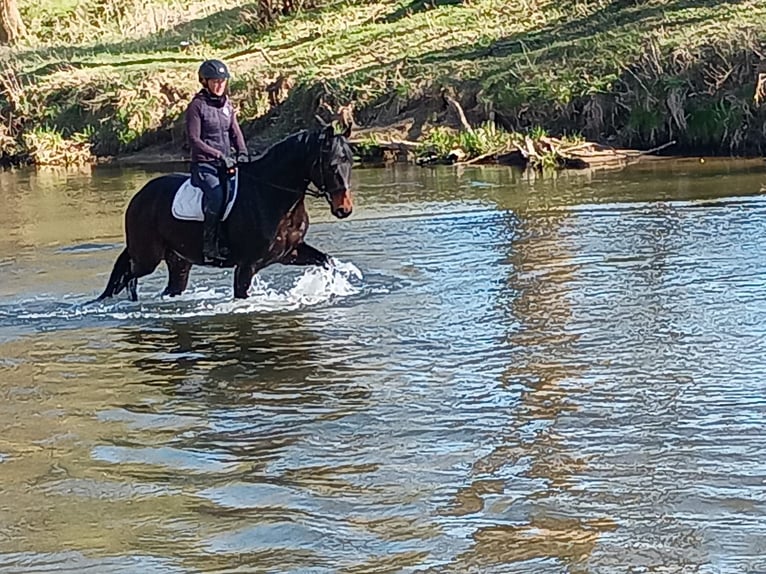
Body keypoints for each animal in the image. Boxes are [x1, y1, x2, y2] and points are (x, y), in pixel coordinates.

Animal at [94, 125, 353, 301]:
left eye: (350, 161)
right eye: (331, 165)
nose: (344, 209)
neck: (273, 196)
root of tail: (139, 196)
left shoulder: (290, 252)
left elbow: (327, 260)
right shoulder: (247, 265)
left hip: (178, 261)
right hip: (147, 257)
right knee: (128, 274)